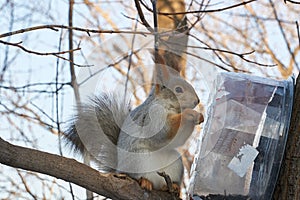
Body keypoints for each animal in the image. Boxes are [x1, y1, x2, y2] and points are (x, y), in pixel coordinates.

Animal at [63, 52, 204, 191]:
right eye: (178, 89)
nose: (197, 101)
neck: (168, 106)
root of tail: (119, 169)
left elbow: (178, 139)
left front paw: (199, 117)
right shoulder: (152, 115)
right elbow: (162, 131)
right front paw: (189, 114)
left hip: (176, 163)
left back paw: (173, 187)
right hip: (139, 160)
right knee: (138, 177)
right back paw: (145, 182)